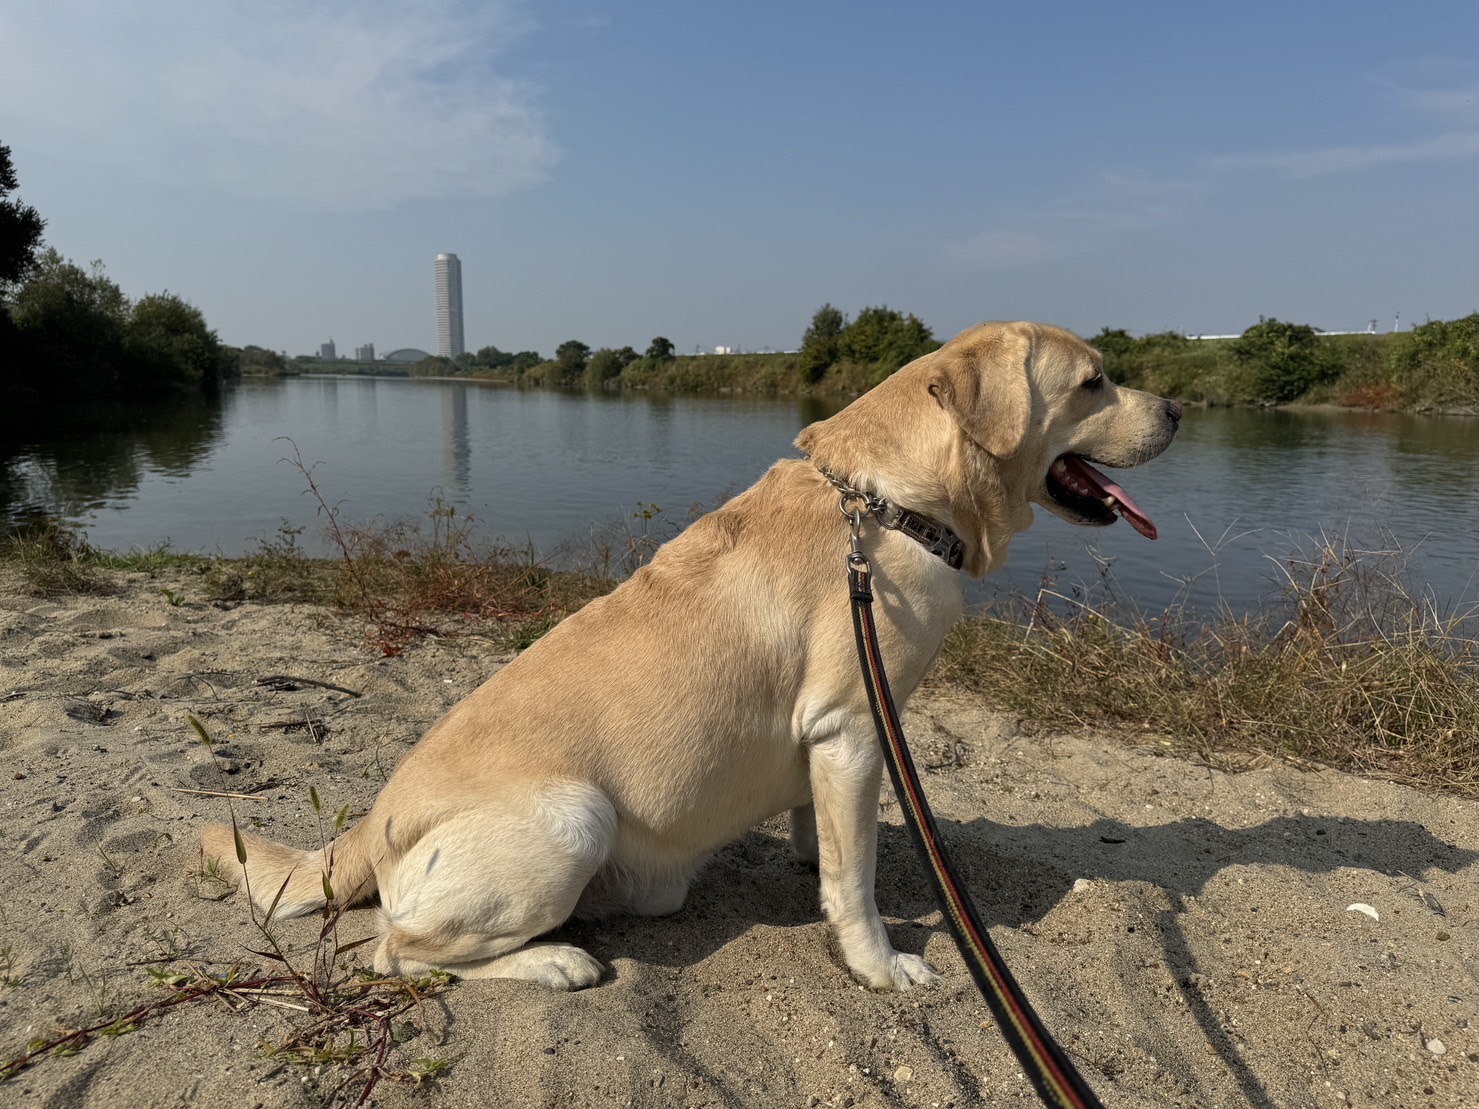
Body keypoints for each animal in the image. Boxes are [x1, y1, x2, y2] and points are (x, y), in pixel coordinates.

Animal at [202, 319, 1183, 987]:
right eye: (1095, 381)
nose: (1176, 405)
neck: (889, 503)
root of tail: (368, 823)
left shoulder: (832, 744)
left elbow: (827, 843)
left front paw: (814, 866)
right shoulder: (853, 727)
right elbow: (856, 881)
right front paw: (879, 964)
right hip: (573, 818)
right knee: (393, 950)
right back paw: (556, 961)